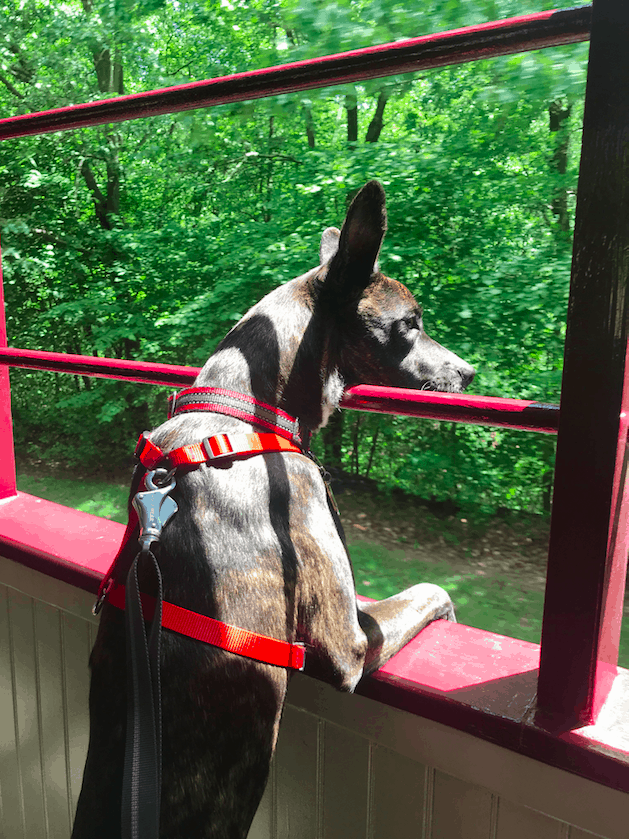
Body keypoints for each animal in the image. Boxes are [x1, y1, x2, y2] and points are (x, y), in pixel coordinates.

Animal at [71, 182, 474, 839]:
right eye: (408, 325)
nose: (468, 371)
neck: (239, 411)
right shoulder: (348, 641)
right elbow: (424, 592)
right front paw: (446, 602)